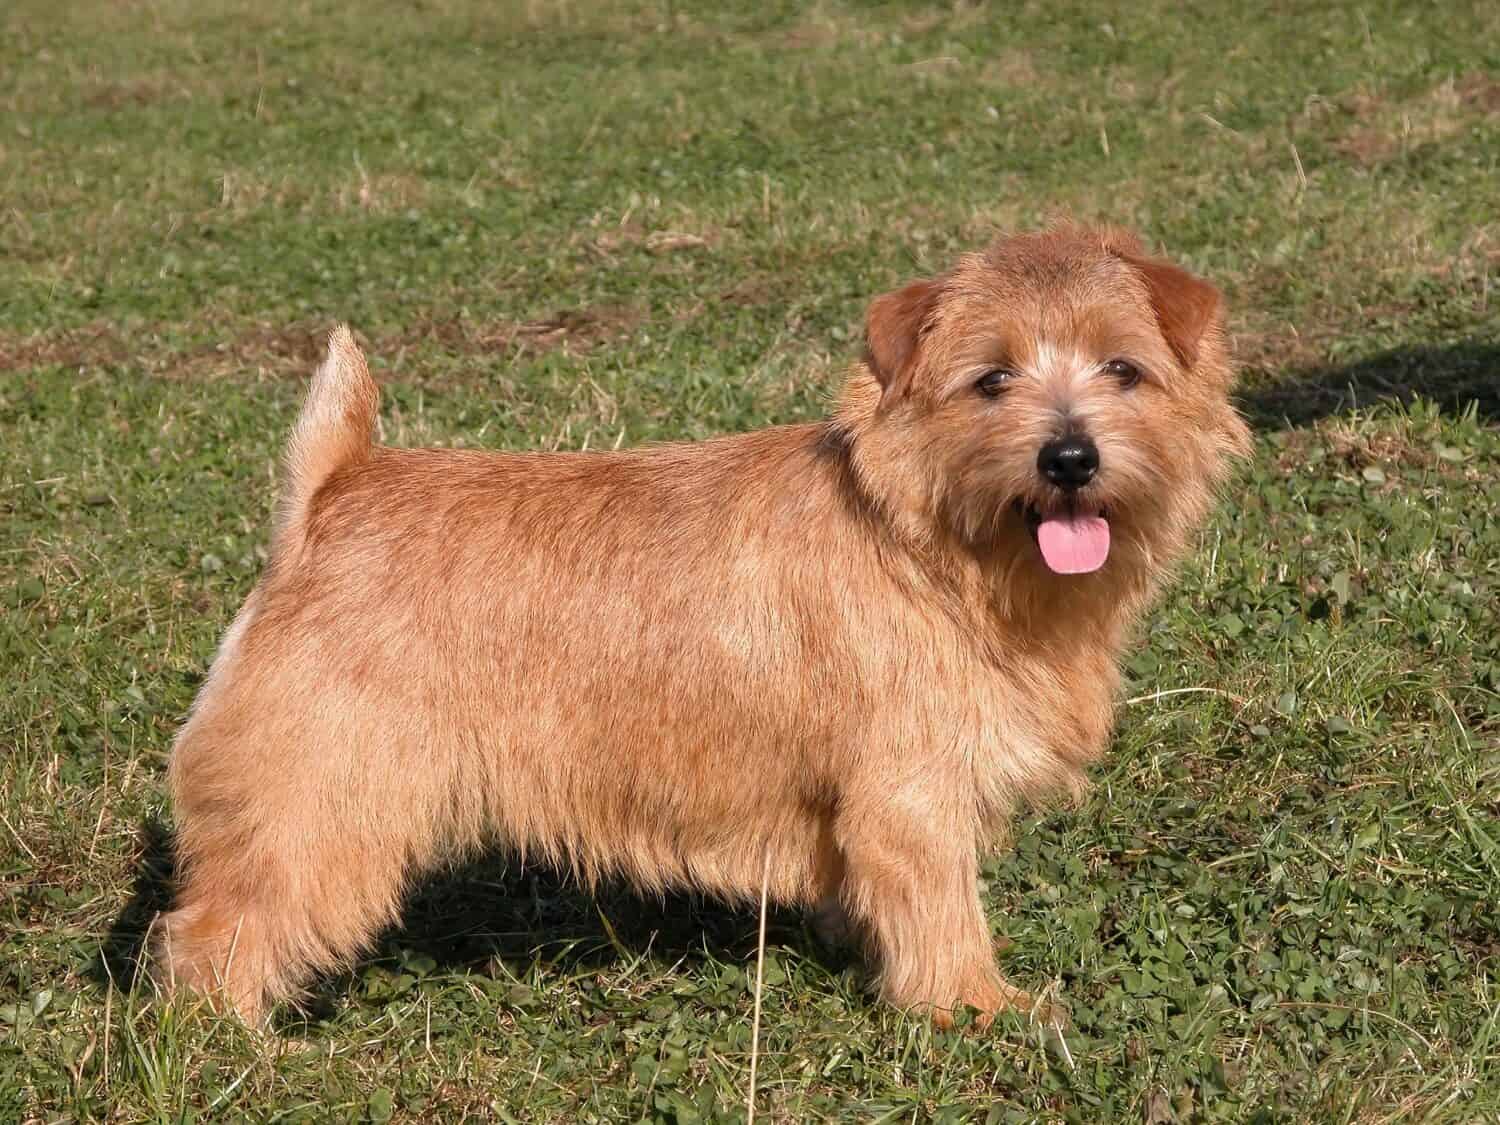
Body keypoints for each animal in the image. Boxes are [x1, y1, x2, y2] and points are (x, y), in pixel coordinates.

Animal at [152, 226, 1254, 1032]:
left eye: (1123, 368)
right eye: (990, 380)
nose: (1069, 456)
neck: (937, 544)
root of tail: (331, 489)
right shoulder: (913, 790)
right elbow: (946, 911)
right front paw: (981, 1009)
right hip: (318, 800)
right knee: (212, 930)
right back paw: (227, 1047)